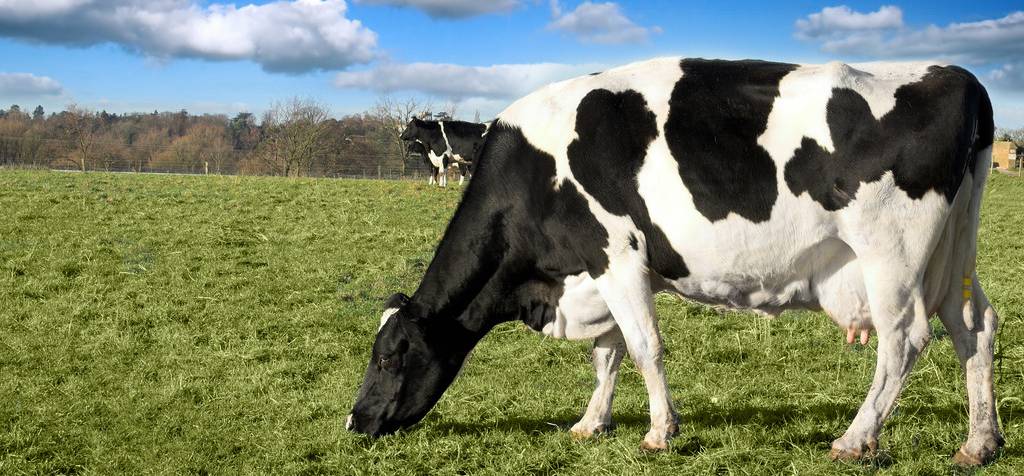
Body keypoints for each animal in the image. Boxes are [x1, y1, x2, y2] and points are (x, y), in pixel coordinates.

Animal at [348, 58, 1003, 464]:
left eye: (388, 356)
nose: (355, 422)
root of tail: (959, 77)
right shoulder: (600, 274)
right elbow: (607, 353)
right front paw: (591, 424)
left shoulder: (614, 255)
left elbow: (643, 348)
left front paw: (661, 431)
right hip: (954, 254)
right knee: (974, 328)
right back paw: (980, 443)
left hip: (891, 255)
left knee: (904, 339)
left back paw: (855, 437)